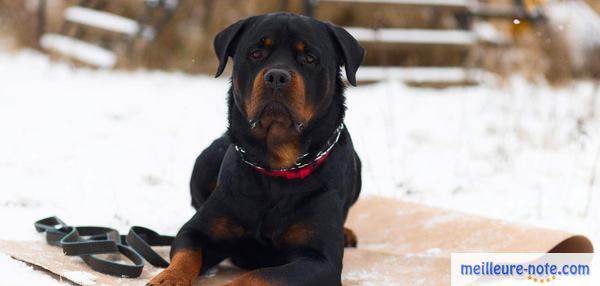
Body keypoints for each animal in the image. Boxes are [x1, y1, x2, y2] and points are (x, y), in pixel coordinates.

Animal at [150, 11, 366, 286]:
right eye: (256, 53)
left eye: (309, 58)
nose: (277, 76)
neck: (277, 168)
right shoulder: (197, 232)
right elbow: (186, 253)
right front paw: (168, 278)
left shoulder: (320, 259)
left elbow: (260, 276)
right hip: (204, 162)